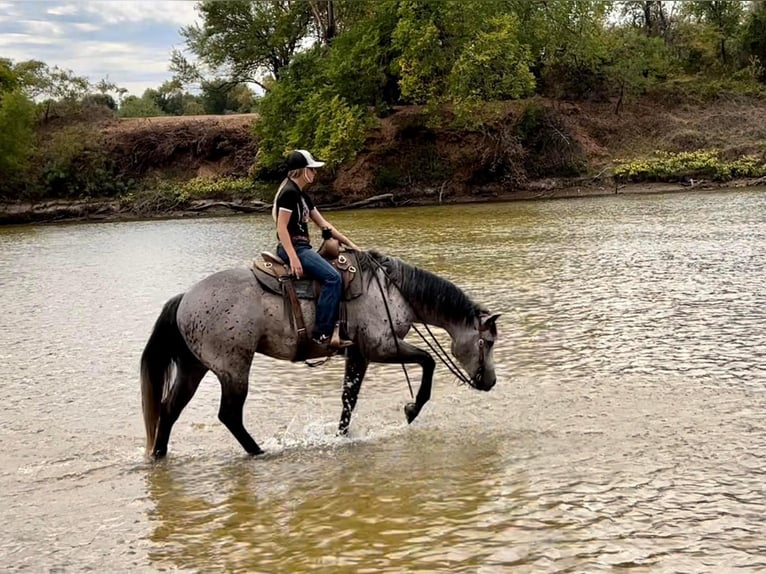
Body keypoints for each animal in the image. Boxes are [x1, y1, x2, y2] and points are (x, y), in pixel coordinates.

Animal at [141, 251, 500, 460]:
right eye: (487, 342)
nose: (491, 382)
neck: (393, 291)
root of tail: (186, 298)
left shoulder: (358, 354)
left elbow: (348, 399)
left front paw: (342, 436)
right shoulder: (381, 347)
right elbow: (428, 361)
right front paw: (412, 409)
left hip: (194, 367)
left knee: (169, 410)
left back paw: (159, 455)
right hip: (233, 369)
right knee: (229, 415)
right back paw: (259, 452)